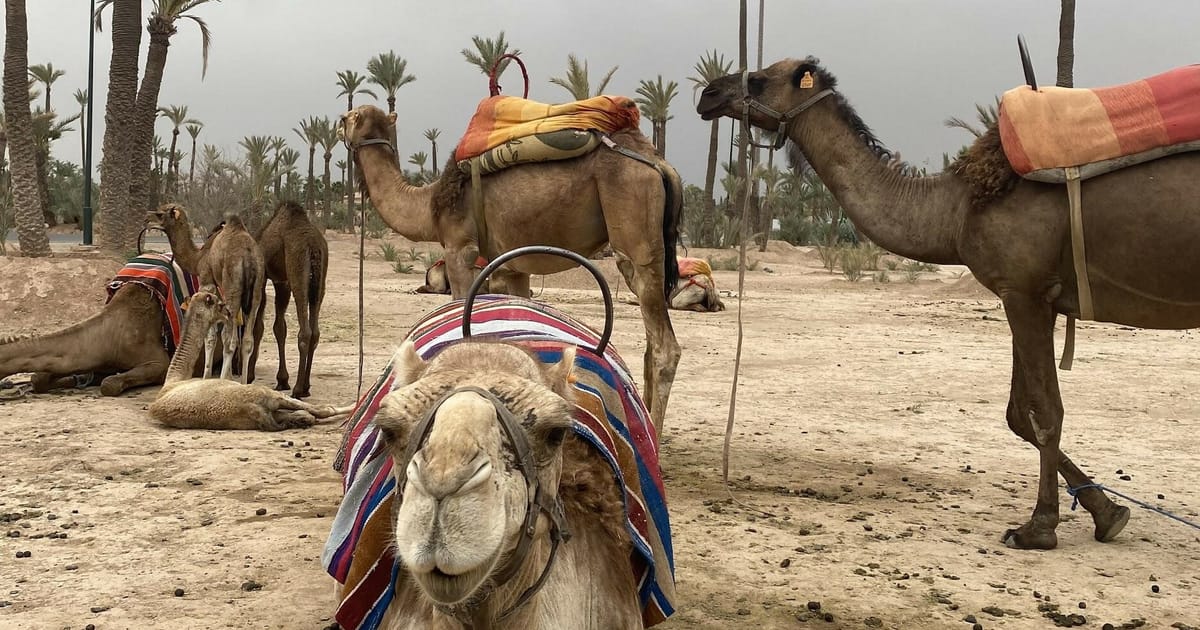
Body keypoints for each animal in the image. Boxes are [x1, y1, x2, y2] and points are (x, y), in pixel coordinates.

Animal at [149, 203, 266, 384]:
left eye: (160, 214)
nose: (147, 219)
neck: (199, 257)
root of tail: (249, 257)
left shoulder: (207, 282)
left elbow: (210, 337)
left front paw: (207, 376)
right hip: (257, 290)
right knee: (247, 341)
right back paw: (243, 382)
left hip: (233, 287)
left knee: (228, 340)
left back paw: (224, 380)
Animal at [149, 290, 352, 430]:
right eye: (219, 304)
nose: (229, 313)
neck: (175, 378)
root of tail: (251, 407)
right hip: (267, 394)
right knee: (321, 409)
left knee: (305, 414)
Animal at [253, 200, 328, 398]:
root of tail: (313, 245)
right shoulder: (282, 282)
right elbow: (280, 328)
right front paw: (282, 380)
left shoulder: (263, 277)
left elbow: (258, 326)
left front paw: (249, 374)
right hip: (320, 281)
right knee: (315, 331)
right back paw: (306, 387)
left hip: (298, 272)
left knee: (305, 331)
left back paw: (298, 389)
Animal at [340, 104, 682, 432]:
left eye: (348, 117)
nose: (339, 122)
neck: (429, 205)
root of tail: (658, 163)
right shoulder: (515, 266)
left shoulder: (459, 248)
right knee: (650, 346)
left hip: (635, 231)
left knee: (665, 346)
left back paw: (654, 434)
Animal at [695, 57, 1200, 550]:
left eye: (759, 79)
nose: (708, 95)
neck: (957, 207)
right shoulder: (1026, 295)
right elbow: (1018, 414)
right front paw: (1109, 514)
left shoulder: (1024, 292)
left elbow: (1045, 411)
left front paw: (1038, 528)